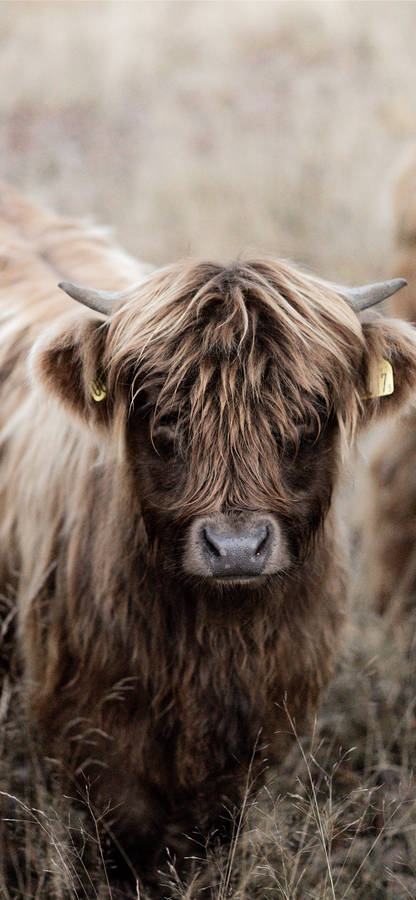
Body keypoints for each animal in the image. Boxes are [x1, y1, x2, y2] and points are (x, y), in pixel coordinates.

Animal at [0, 182, 415, 892]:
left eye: (305, 416)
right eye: (164, 416)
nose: (237, 548)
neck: (211, 638)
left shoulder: (261, 724)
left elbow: (212, 836)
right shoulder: (91, 727)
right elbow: (128, 841)